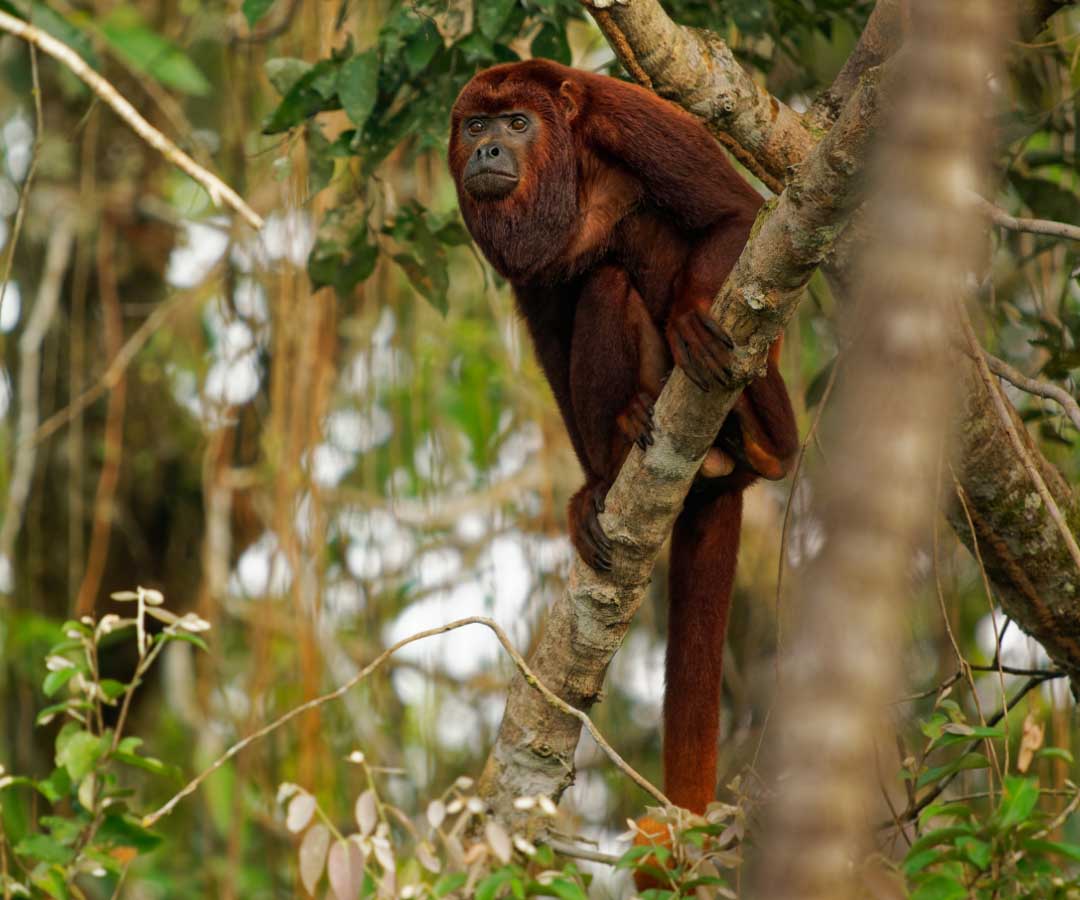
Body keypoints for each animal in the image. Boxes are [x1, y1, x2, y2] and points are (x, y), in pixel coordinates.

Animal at [449, 61, 803, 821]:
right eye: (476, 125)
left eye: (517, 123)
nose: (488, 151)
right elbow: (550, 332)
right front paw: (587, 489)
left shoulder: (629, 119)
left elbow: (737, 212)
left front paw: (692, 315)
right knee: (601, 285)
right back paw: (615, 462)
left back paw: (761, 435)